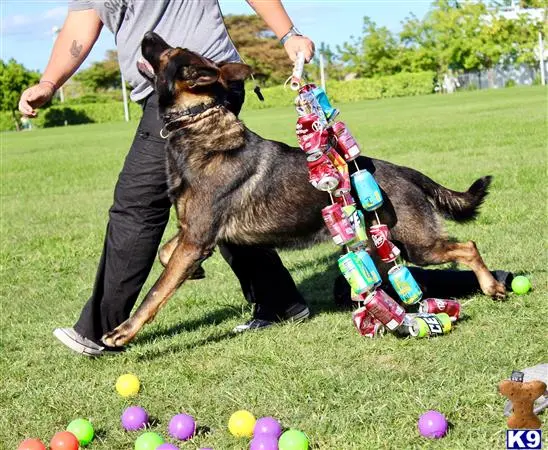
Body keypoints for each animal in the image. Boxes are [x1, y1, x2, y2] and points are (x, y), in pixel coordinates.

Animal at [101, 32, 506, 348]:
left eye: (169, 52)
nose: (148, 34)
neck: (199, 124)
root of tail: (405, 172)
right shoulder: (194, 235)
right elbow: (165, 253)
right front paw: (194, 272)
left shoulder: (197, 237)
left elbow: (155, 292)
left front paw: (123, 331)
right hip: (387, 247)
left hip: (419, 245)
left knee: (468, 246)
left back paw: (491, 286)